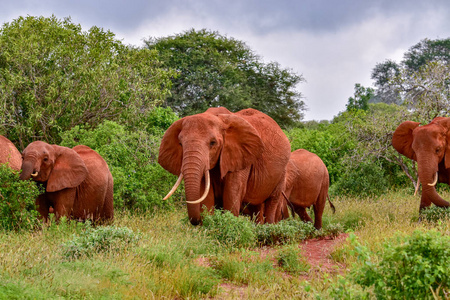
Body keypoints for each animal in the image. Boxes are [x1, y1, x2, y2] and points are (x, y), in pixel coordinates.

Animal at [158, 106, 292, 224]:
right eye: (180, 144)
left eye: (213, 143)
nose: (196, 222)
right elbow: (206, 195)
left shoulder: (241, 155)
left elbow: (232, 192)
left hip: (282, 172)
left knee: (271, 202)